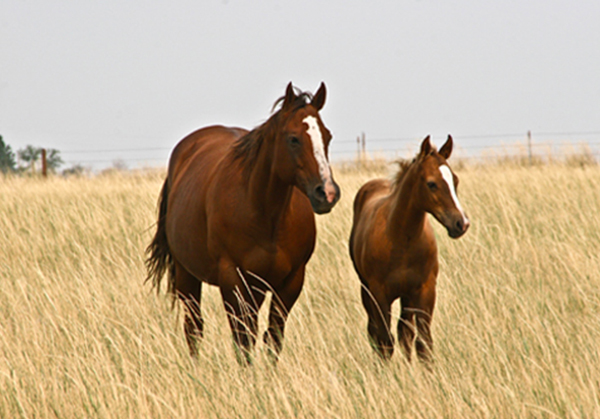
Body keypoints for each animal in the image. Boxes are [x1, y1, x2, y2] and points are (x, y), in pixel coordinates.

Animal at [146, 83, 340, 364]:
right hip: (187, 274)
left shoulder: (291, 281)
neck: (265, 215)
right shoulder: (232, 279)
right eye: (293, 139)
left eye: (328, 137)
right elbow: (243, 340)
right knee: (193, 327)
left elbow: (273, 338)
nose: (327, 193)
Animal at [350, 135, 472, 364]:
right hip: (366, 290)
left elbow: (423, 343)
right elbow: (384, 341)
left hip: (406, 297)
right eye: (431, 184)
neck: (401, 241)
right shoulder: (379, 293)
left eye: (456, 180)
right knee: (375, 334)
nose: (461, 223)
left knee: (404, 333)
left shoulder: (425, 290)